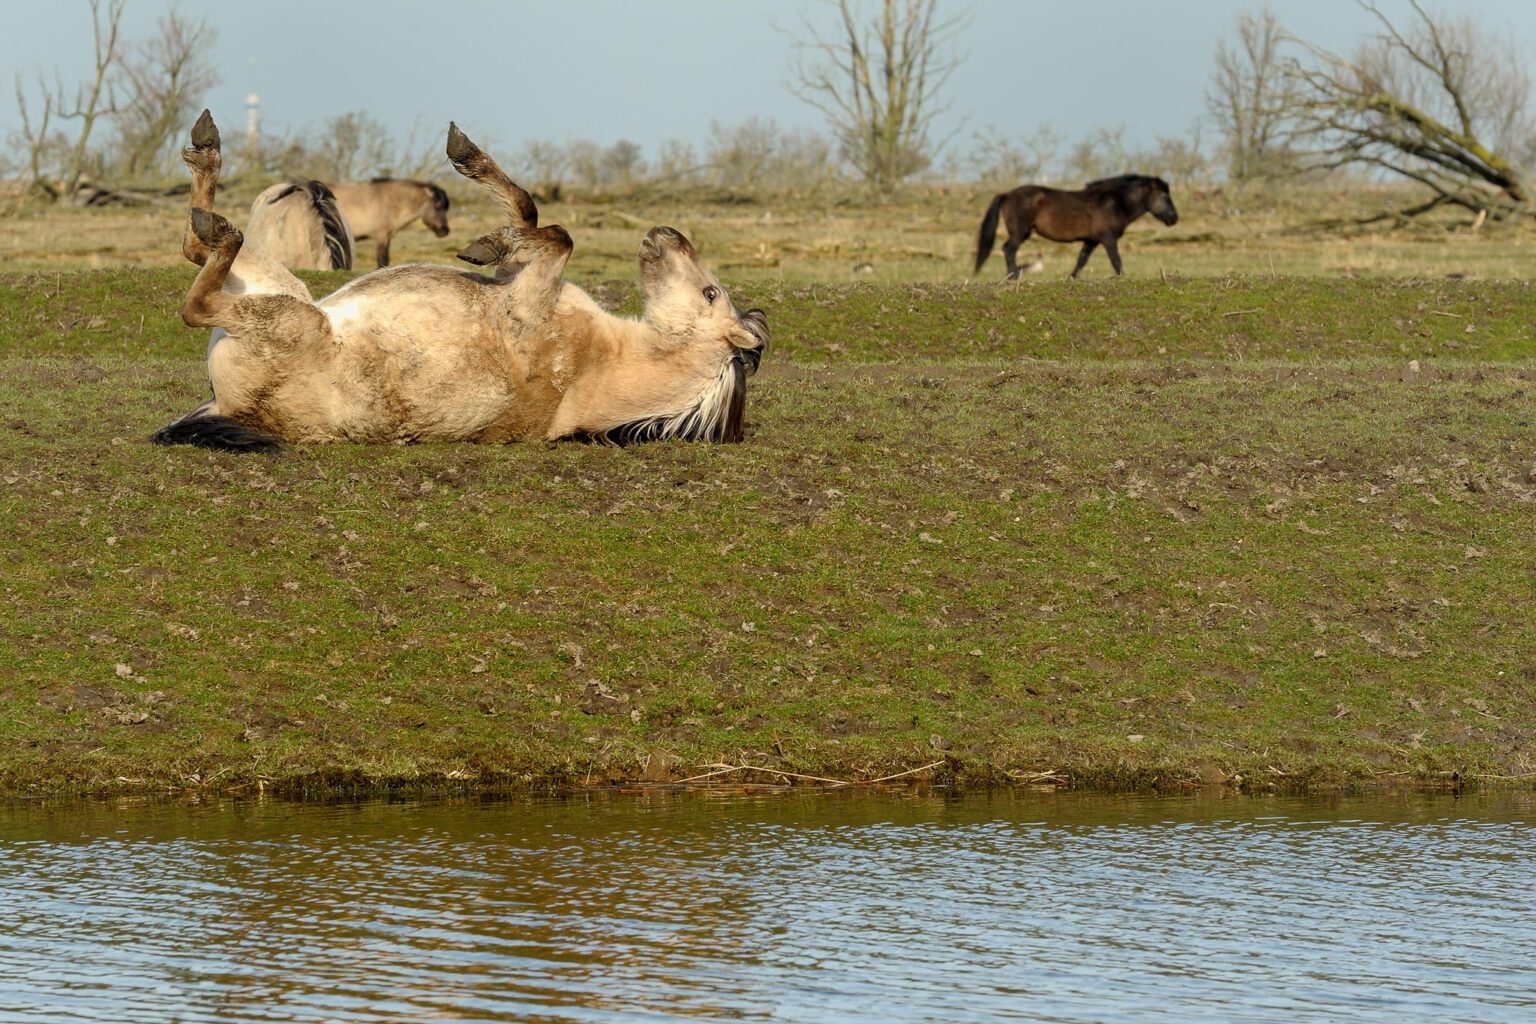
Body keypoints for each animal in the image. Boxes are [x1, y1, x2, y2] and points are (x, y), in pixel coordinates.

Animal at [152, 122, 764, 454]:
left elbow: (557, 234)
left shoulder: (530, 291)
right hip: (284, 285)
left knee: (197, 296)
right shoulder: (521, 281)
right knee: (194, 245)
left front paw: (485, 232)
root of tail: (228, 406)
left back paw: (215, 212)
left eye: (711, 294)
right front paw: (484, 206)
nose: (669, 234)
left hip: (285, 315)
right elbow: (535, 215)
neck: (597, 366)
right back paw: (206, 157)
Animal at [976, 174, 1179, 280]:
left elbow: (1081, 260)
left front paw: (1071, 278)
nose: (1174, 218)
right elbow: (1116, 261)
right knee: (1009, 249)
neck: (1114, 203)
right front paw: (1122, 277)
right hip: (1020, 232)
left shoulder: (1091, 241)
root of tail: (1007, 194)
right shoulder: (1108, 239)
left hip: (1024, 232)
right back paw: (1014, 276)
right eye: (1164, 196)